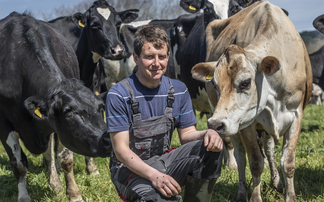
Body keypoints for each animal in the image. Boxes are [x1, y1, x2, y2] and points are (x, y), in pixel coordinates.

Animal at [0, 12, 110, 202]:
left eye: (101, 107)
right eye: (68, 111)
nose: (109, 139)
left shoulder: (57, 127)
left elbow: (65, 158)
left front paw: (73, 193)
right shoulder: (3, 122)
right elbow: (19, 163)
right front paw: (24, 196)